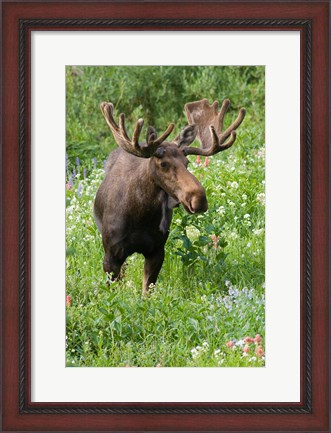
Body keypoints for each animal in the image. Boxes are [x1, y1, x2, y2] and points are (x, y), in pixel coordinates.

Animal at [94, 98, 245, 294]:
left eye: (187, 162)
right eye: (163, 164)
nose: (199, 199)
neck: (141, 216)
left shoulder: (157, 250)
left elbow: (147, 292)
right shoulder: (111, 254)